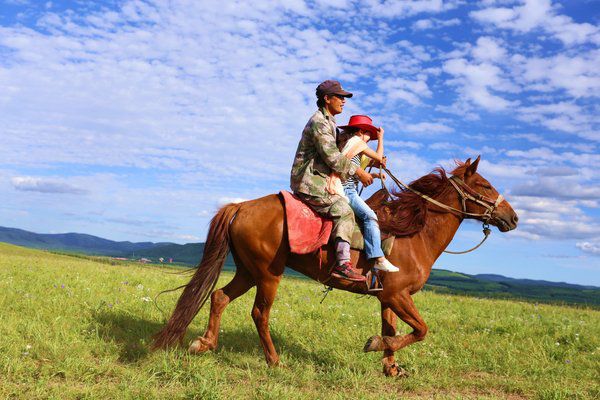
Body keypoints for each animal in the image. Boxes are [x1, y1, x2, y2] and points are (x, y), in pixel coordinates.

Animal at [152, 155, 516, 376]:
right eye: (485, 185)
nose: (512, 218)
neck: (415, 234)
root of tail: (240, 206)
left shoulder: (388, 297)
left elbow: (394, 330)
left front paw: (390, 367)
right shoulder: (398, 295)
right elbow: (420, 330)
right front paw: (374, 346)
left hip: (247, 271)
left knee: (219, 298)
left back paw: (205, 343)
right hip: (268, 274)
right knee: (259, 314)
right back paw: (274, 360)